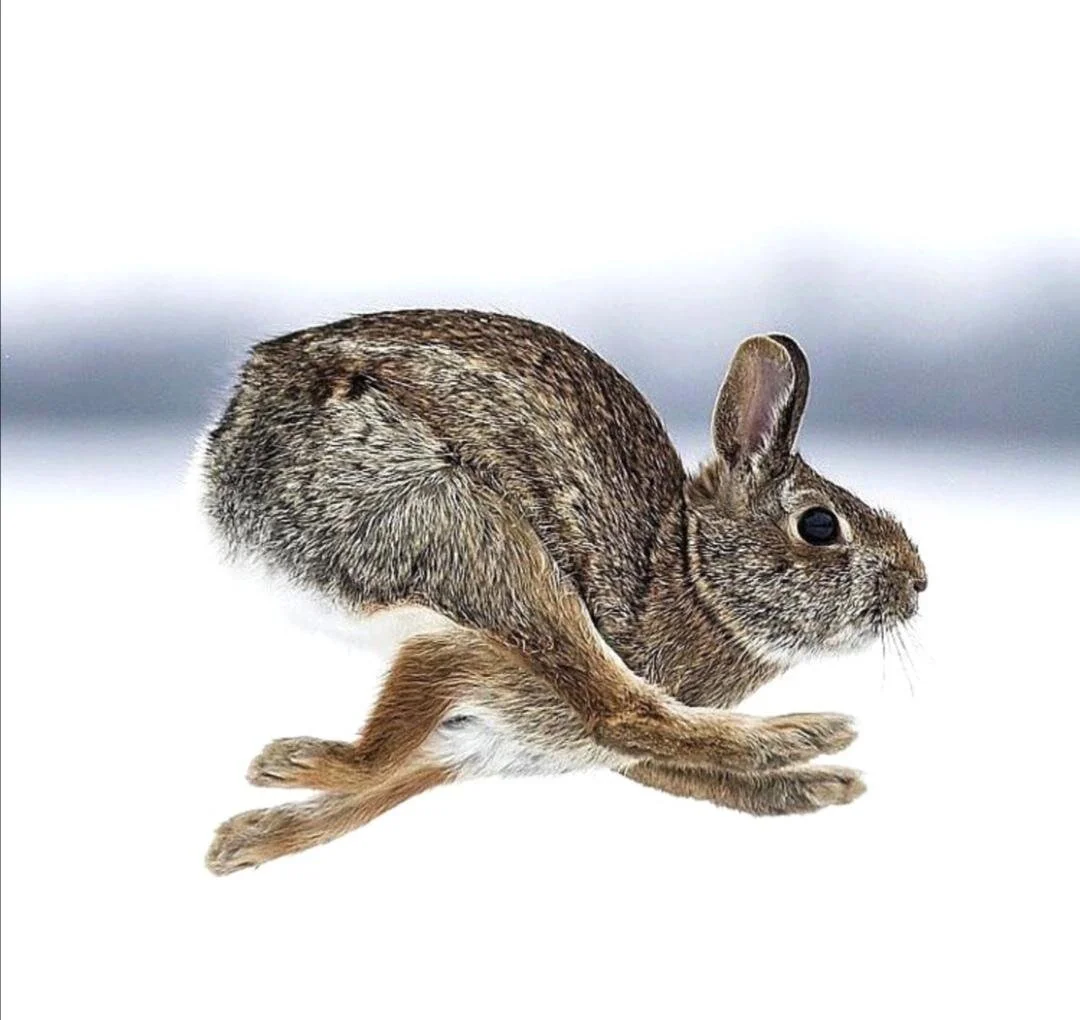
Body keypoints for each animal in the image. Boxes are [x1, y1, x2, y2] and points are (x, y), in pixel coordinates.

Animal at [198, 310, 926, 875]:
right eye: (819, 526)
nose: (918, 583)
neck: (687, 570)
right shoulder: (458, 656)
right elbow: (384, 753)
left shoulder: (482, 742)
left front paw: (244, 838)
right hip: (468, 529)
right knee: (619, 708)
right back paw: (808, 733)